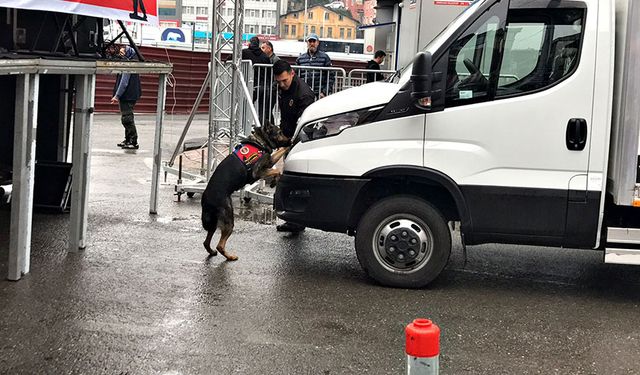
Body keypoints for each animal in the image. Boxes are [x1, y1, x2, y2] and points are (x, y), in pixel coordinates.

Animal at [202, 123, 290, 262]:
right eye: (280, 132)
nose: (290, 138)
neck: (260, 141)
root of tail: (206, 198)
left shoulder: (268, 163)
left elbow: (278, 163)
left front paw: (274, 181)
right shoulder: (258, 171)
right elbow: (277, 171)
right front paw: (274, 180)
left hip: (214, 222)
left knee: (206, 242)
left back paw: (211, 252)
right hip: (228, 219)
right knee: (220, 245)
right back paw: (230, 257)